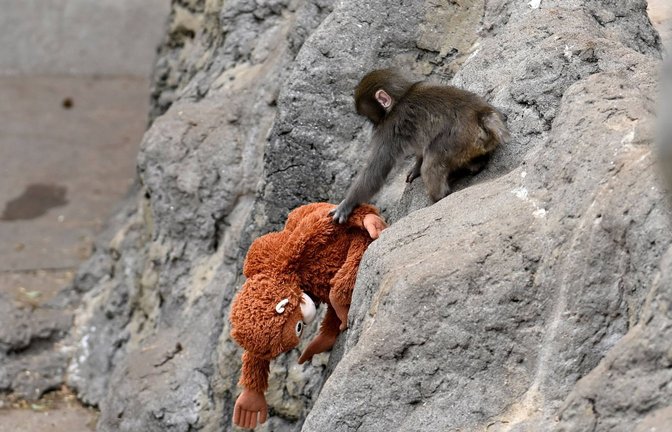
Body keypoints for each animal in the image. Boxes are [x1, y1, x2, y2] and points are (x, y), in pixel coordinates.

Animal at [331, 68, 511, 223]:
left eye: (369, 117)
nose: (372, 125)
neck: (402, 96)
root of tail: (482, 115)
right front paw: (415, 168)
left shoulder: (389, 127)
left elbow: (377, 169)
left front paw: (347, 204)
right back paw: (476, 164)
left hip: (457, 141)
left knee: (431, 163)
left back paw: (438, 196)